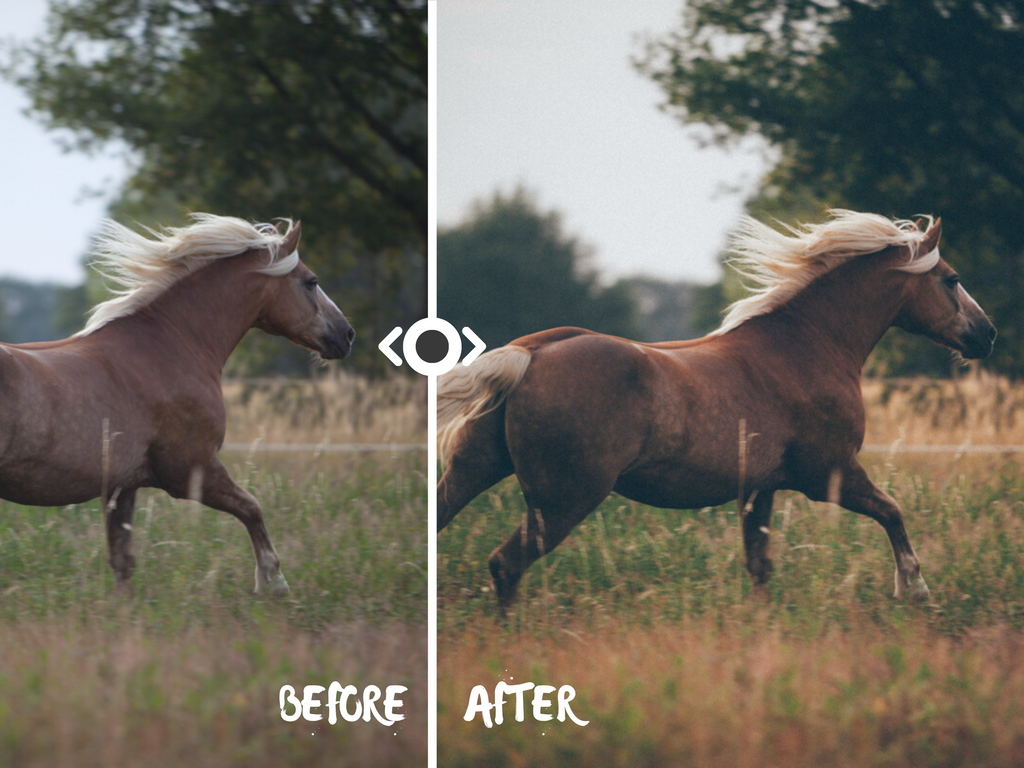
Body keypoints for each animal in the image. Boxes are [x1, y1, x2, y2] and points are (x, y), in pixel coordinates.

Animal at [0, 213, 354, 595]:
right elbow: (252, 508)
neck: (170, 345)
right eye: (311, 282)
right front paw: (273, 584)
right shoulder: (190, 471)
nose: (347, 334)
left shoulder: (123, 486)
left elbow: (122, 561)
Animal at [437, 211, 996, 609]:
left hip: (474, 470)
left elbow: (760, 565)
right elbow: (892, 511)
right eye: (951, 279)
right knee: (505, 565)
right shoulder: (830, 475)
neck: (806, 346)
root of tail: (530, 355)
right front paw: (914, 588)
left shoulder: (760, 489)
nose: (987, 335)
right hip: (563, 500)